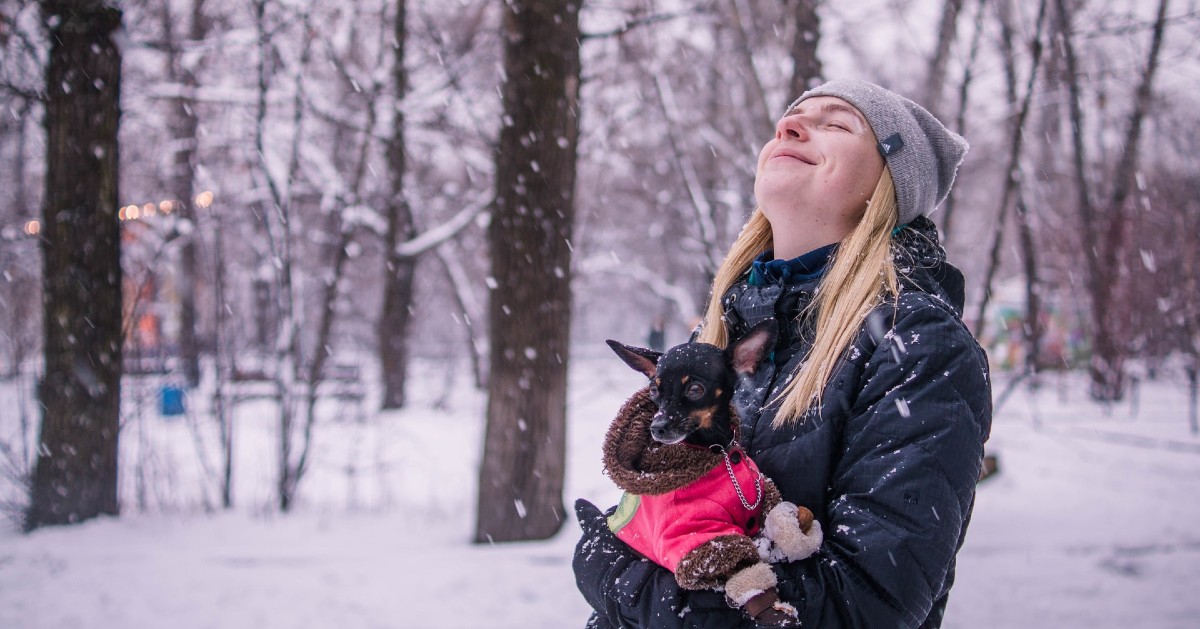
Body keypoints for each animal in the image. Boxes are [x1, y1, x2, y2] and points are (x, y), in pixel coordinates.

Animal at [604, 321, 820, 624]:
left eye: (695, 389)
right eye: (654, 390)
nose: (656, 427)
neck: (718, 450)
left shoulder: (763, 496)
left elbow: (789, 517)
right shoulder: (700, 537)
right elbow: (743, 573)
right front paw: (773, 612)